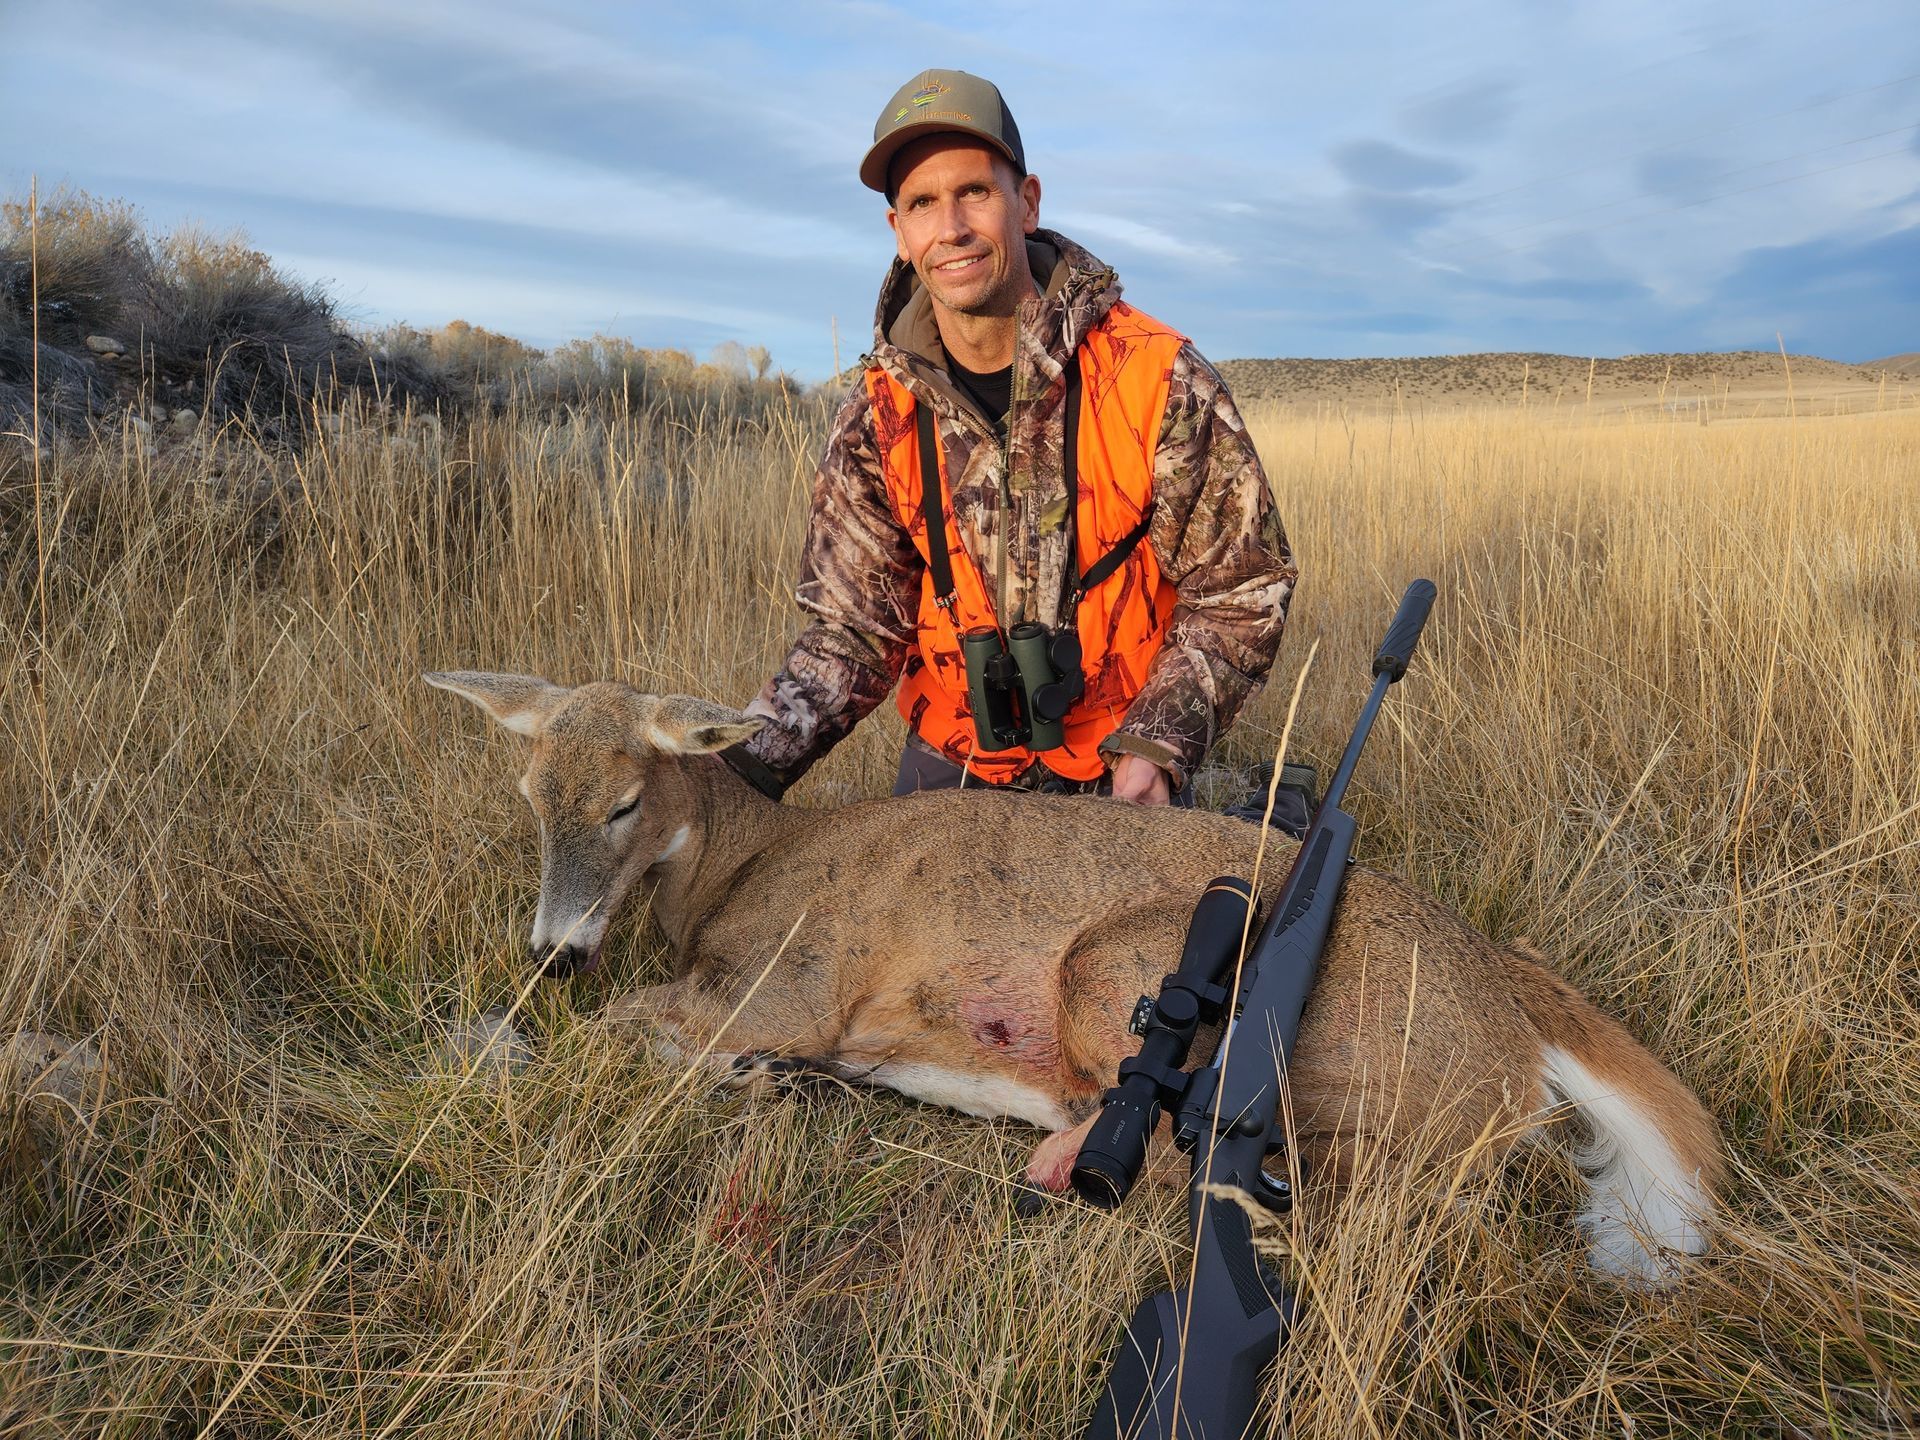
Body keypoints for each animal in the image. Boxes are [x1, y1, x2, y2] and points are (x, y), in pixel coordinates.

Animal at [425, 671, 1724, 1284]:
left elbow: (616, 1031)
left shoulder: (789, 986)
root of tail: (1511, 1000)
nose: (553, 947)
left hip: (1123, 976)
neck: (738, 870)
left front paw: (499, 1041)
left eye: (624, 802)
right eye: (530, 796)